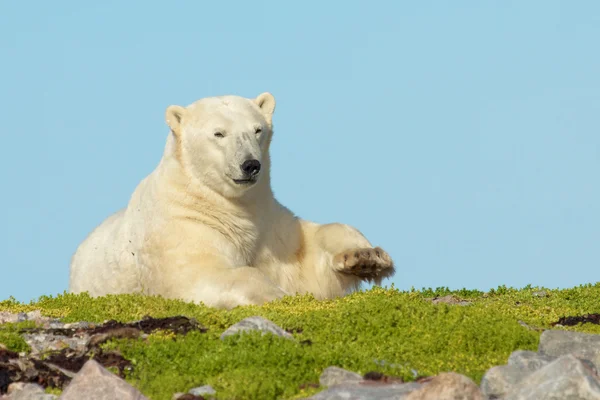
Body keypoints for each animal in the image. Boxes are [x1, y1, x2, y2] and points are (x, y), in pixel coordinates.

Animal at [69, 92, 394, 308]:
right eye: (218, 133)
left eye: (257, 129)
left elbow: (309, 261)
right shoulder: (182, 225)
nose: (251, 165)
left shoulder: (268, 223)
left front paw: (365, 258)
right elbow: (203, 274)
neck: (227, 205)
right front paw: (276, 294)